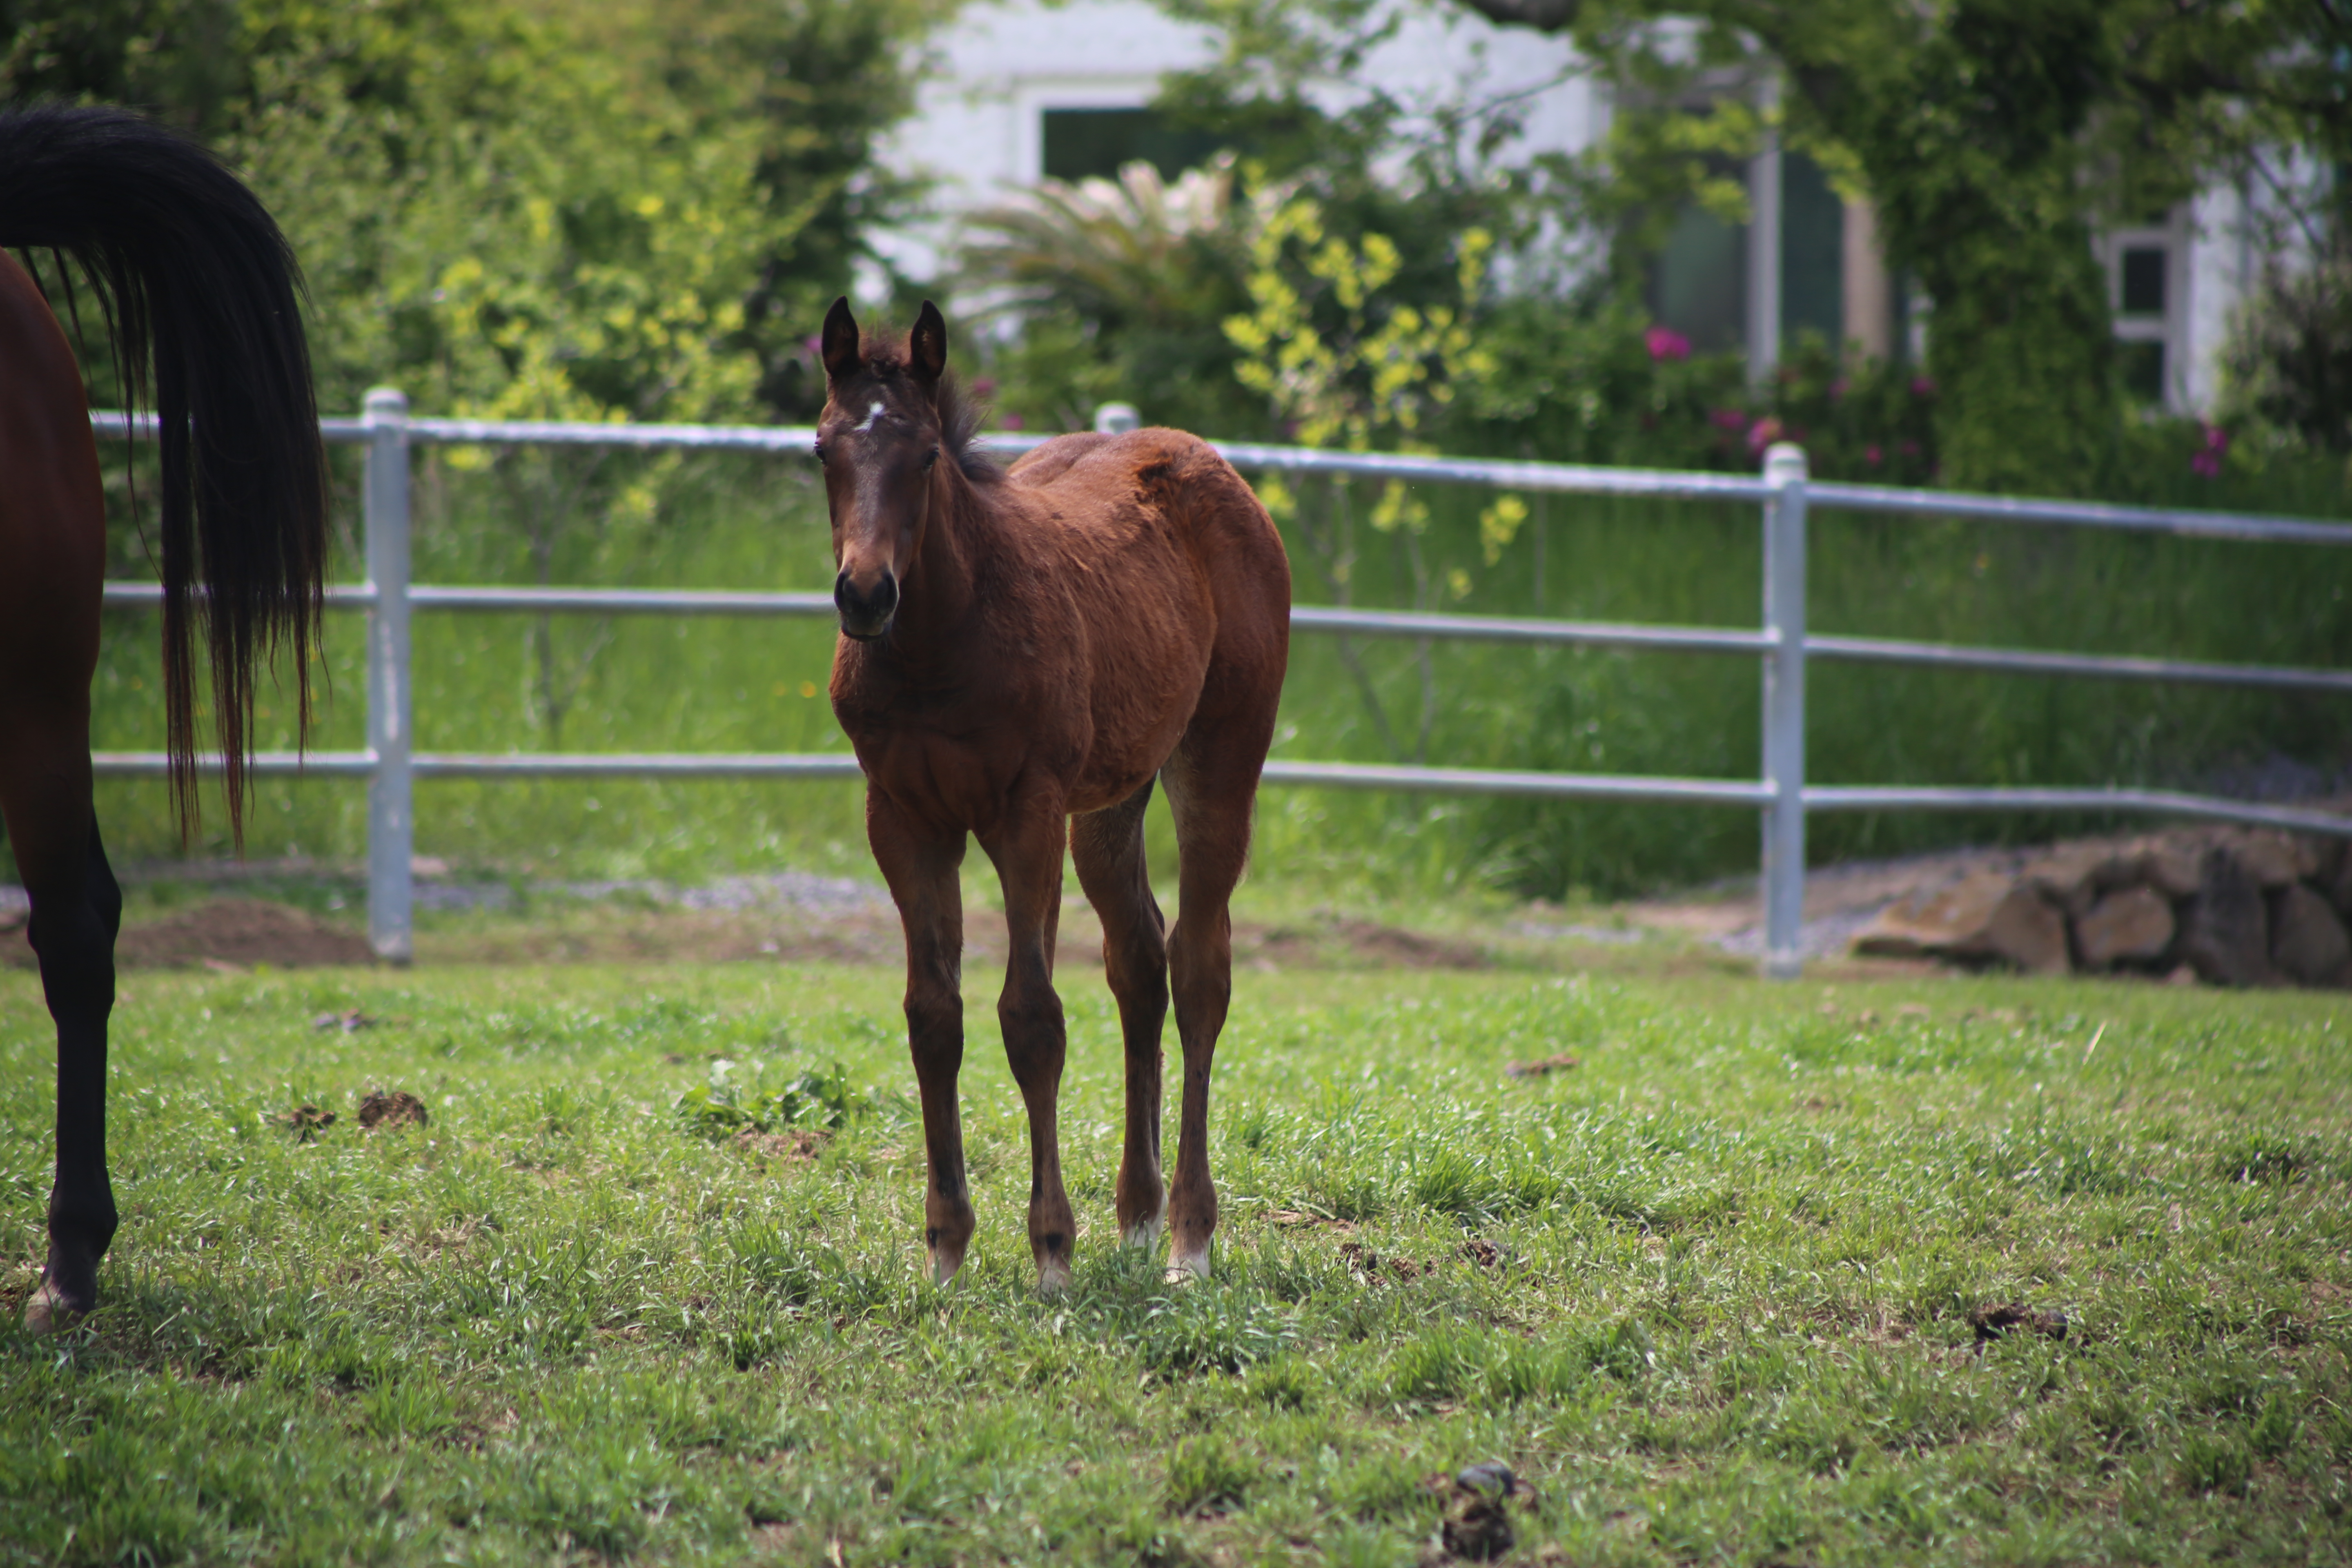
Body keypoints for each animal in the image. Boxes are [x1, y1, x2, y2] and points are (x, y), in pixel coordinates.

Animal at [813, 301, 1289, 1297]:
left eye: (925, 457)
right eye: (822, 449)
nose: (865, 594)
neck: (940, 643)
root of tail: (1209, 461)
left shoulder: (1023, 812)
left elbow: (1030, 1018)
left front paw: (1051, 1253)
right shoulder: (902, 817)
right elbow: (933, 1016)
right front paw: (946, 1249)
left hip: (1219, 757)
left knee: (1199, 968)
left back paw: (1189, 1237)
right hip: (1111, 800)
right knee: (1138, 960)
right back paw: (1138, 1219)